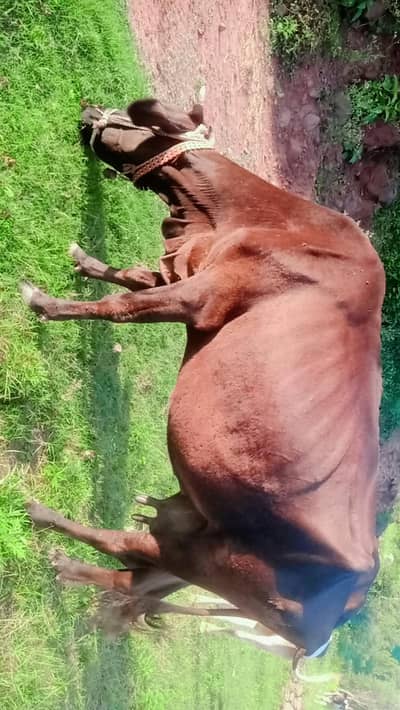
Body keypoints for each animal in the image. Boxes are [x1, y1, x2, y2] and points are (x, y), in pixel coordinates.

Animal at [21, 98, 385, 669]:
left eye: (132, 118)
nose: (91, 109)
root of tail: (348, 604)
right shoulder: (184, 272)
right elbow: (131, 277)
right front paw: (85, 261)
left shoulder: (203, 296)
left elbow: (121, 304)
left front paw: (44, 302)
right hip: (192, 531)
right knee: (132, 580)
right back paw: (68, 568)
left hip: (204, 558)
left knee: (123, 547)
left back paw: (43, 519)